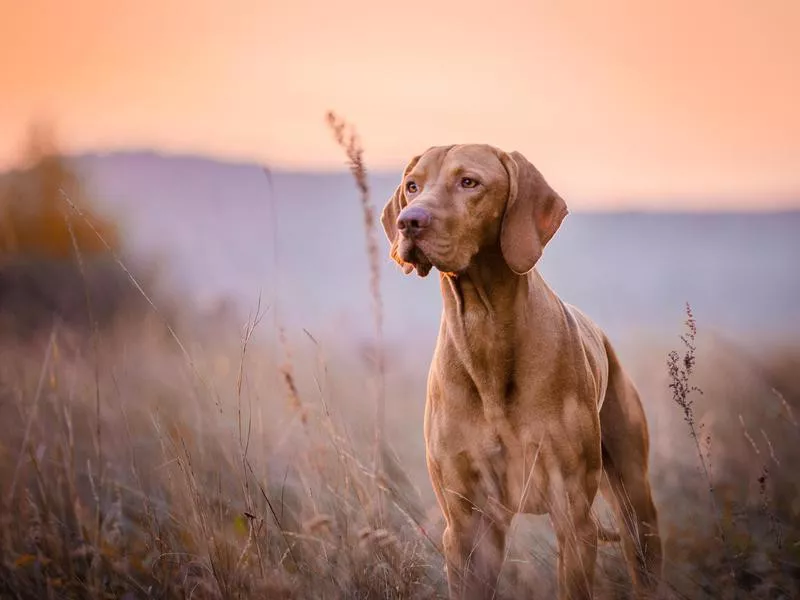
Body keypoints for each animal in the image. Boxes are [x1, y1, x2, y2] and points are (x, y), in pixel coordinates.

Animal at [382, 145, 664, 600]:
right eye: (412, 186)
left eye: (469, 182)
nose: (409, 221)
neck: (485, 331)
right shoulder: (466, 525)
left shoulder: (572, 515)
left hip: (635, 502)